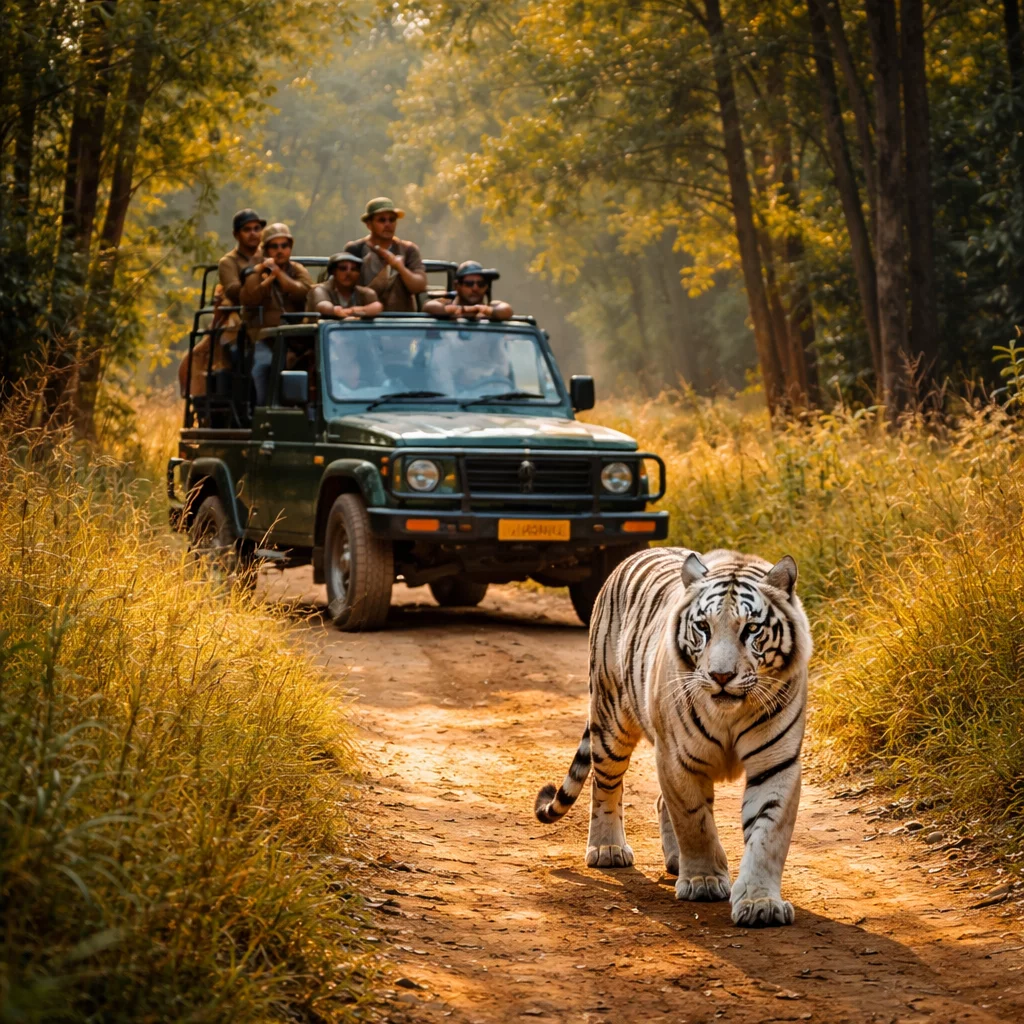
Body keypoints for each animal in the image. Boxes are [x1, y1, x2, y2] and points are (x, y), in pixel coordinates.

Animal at [535, 547, 812, 927]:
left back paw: (675, 861)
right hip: (611, 721)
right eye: (703, 627)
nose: (721, 676)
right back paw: (608, 849)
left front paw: (761, 903)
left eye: (752, 629)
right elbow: (694, 821)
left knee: (659, 800)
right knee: (605, 785)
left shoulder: (777, 762)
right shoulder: (678, 758)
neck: (730, 713)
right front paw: (704, 881)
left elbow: (768, 834)